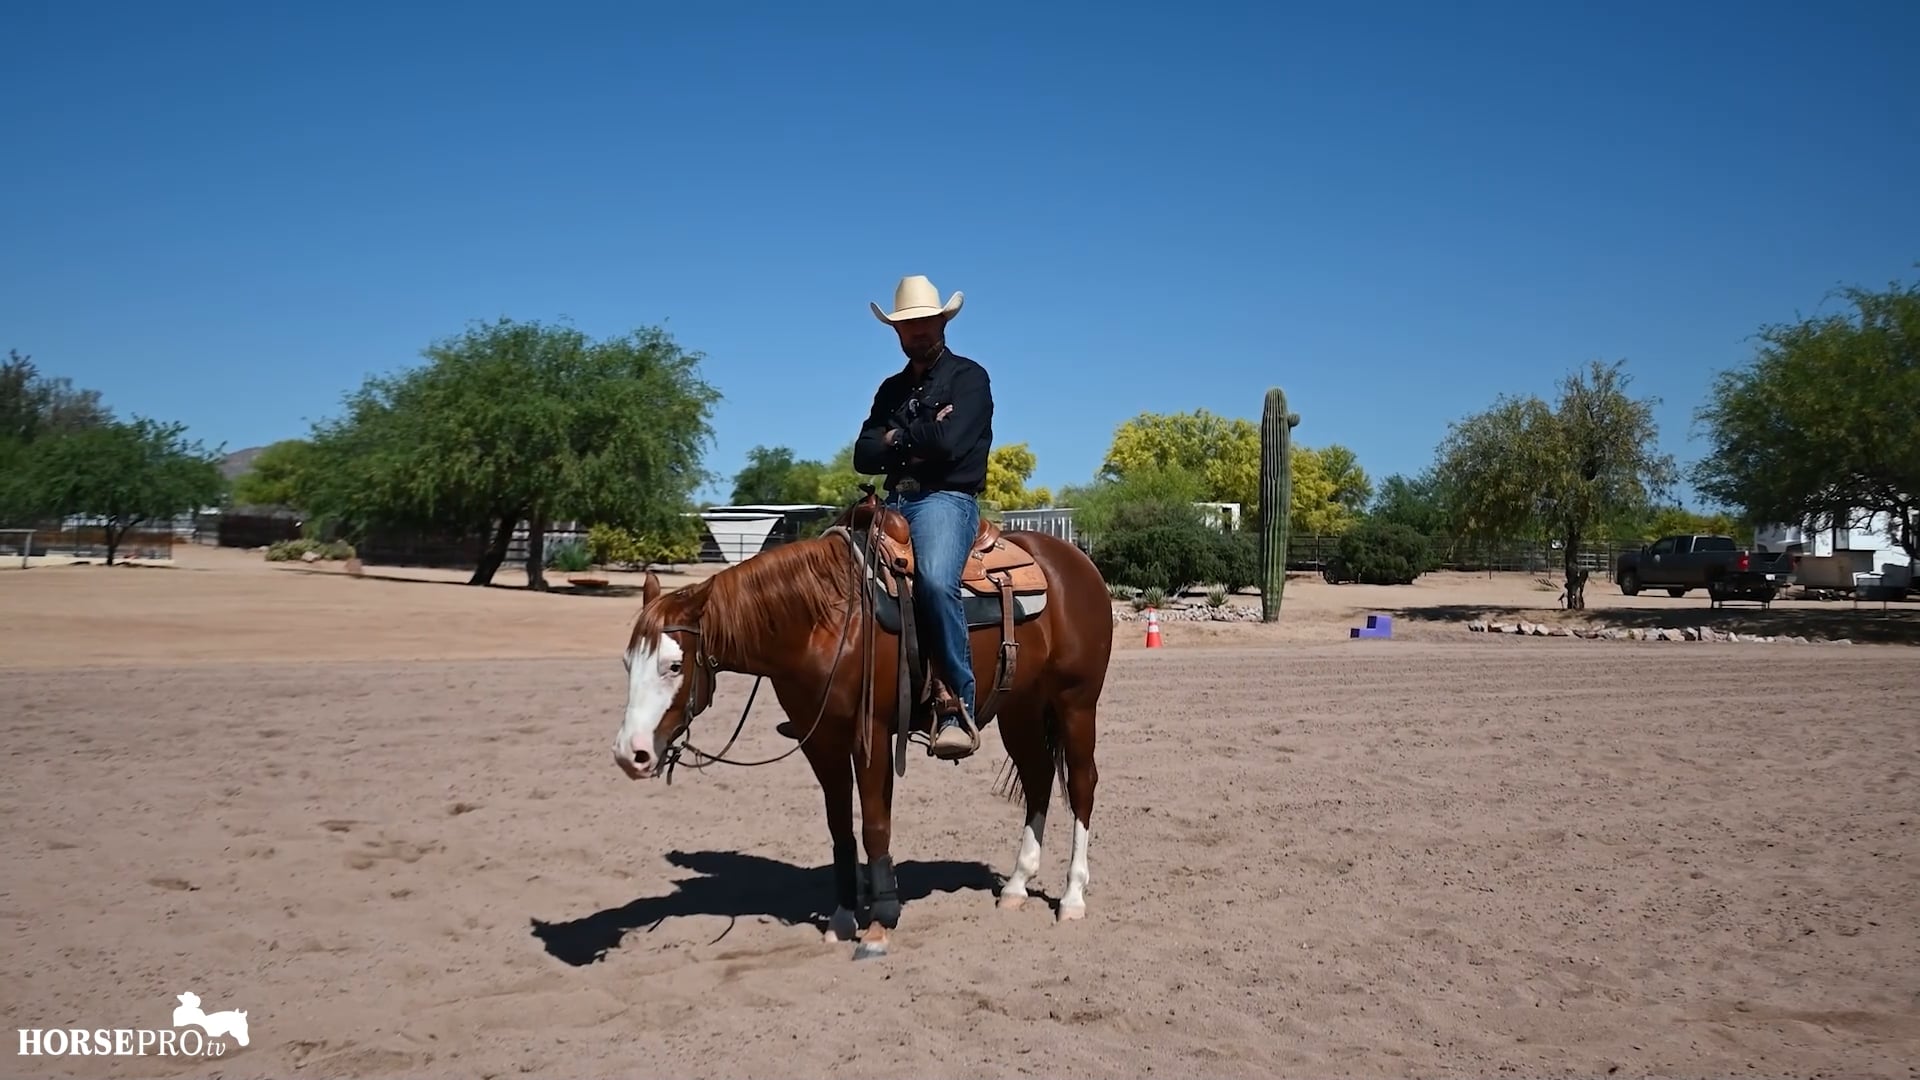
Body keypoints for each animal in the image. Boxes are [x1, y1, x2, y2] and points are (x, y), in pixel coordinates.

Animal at [611, 493, 1113, 960]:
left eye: (674, 666)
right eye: (627, 662)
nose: (630, 754)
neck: (825, 619)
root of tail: (1076, 562)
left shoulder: (869, 732)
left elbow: (874, 824)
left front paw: (880, 922)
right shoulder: (821, 740)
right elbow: (840, 827)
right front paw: (843, 915)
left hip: (1075, 702)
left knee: (1082, 783)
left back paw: (1072, 896)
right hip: (1020, 709)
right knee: (1038, 779)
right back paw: (1016, 886)